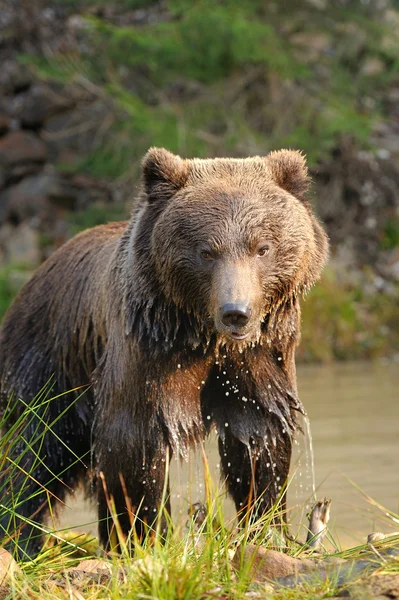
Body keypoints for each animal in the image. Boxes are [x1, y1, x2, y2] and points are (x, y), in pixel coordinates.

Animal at [0, 148, 328, 556]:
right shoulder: (148, 351)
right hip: (48, 360)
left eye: (262, 248)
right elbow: (134, 445)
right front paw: (141, 539)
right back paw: (20, 539)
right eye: (207, 251)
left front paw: (266, 529)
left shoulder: (260, 358)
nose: (236, 312)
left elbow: (258, 441)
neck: (203, 336)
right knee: (31, 453)